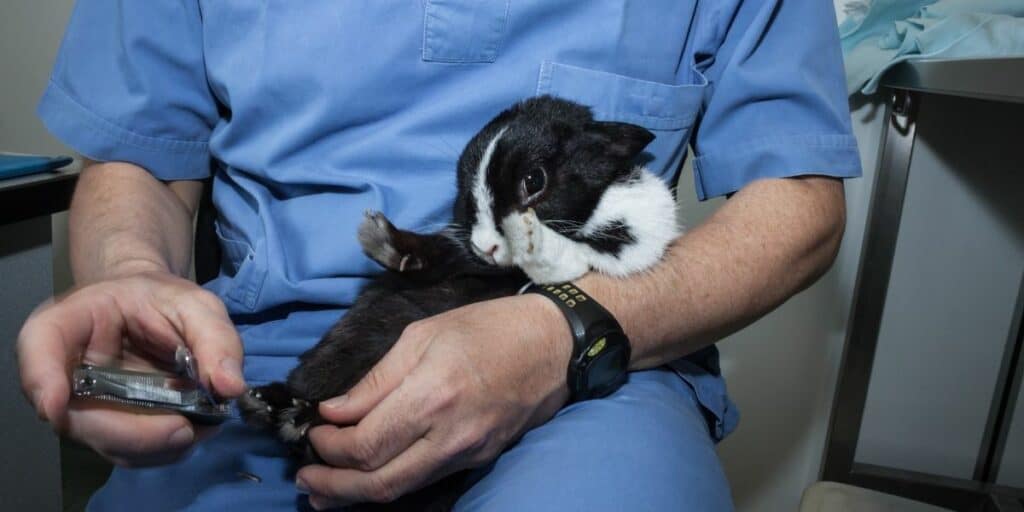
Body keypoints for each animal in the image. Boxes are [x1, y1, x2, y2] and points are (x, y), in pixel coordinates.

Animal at [238, 95, 679, 507]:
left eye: (534, 180)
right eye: (467, 196)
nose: (487, 246)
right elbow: (442, 255)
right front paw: (383, 239)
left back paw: (288, 415)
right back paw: (270, 404)